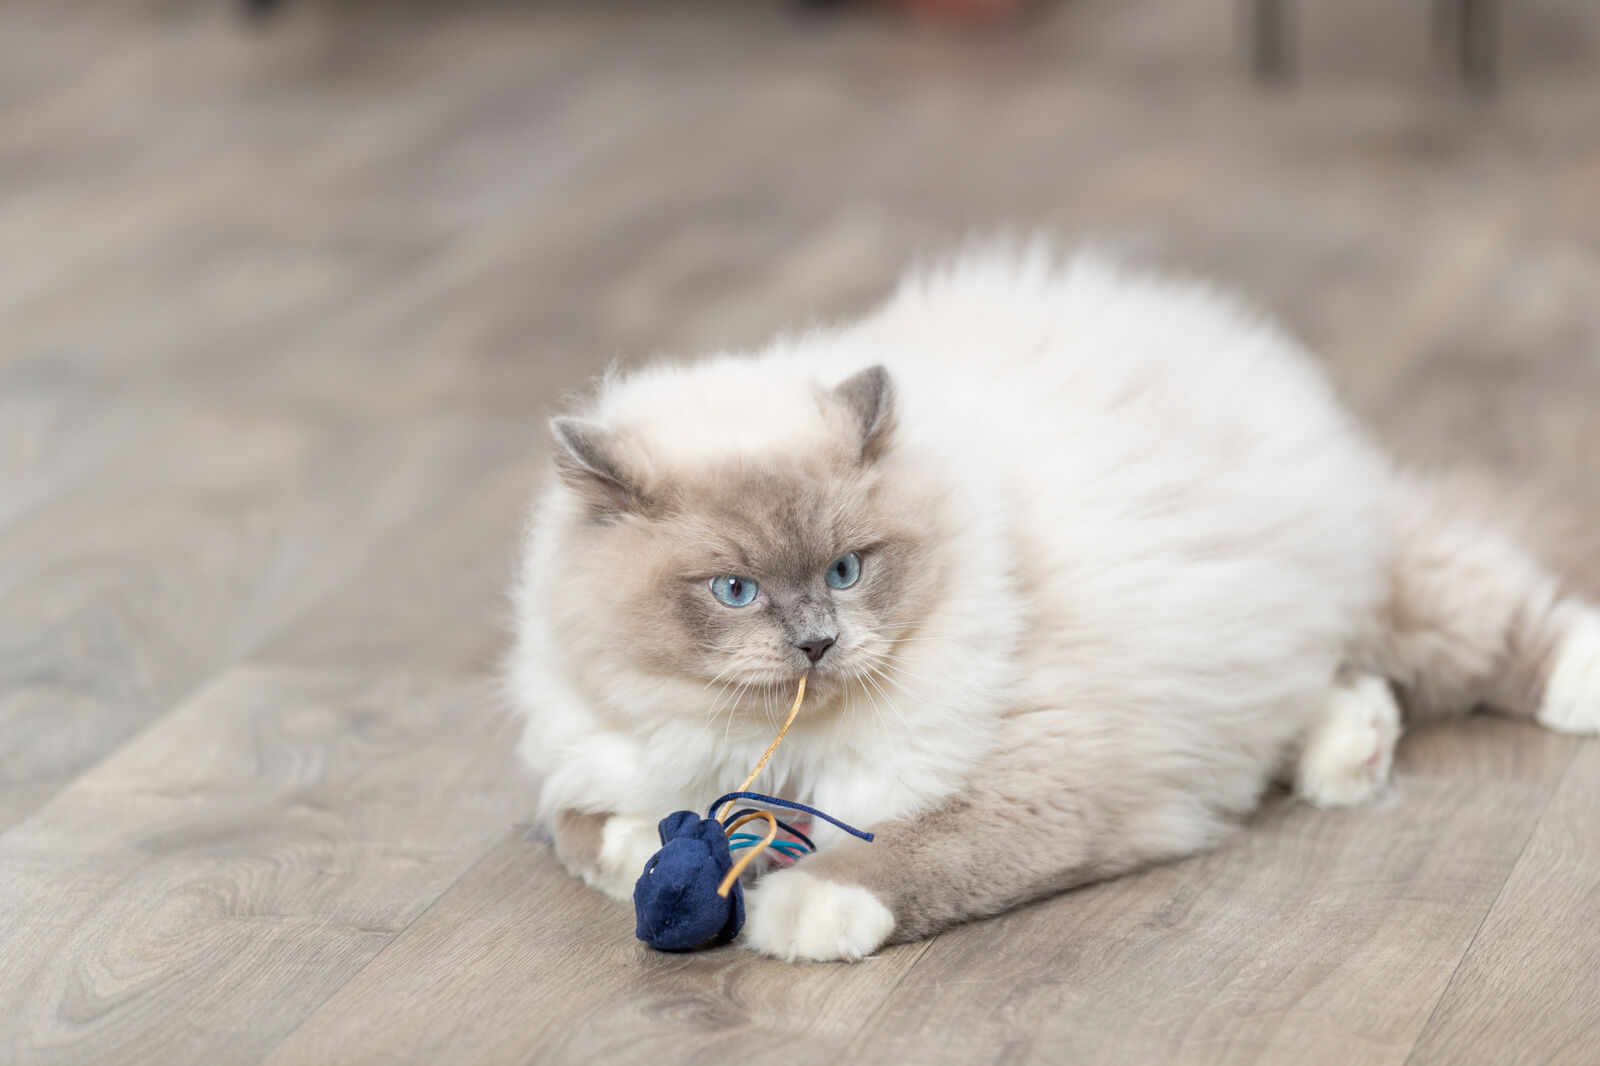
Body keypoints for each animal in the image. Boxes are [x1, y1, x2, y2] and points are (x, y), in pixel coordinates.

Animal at [508, 244, 1600, 960]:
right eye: (734, 592)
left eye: (848, 570)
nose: (817, 645)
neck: (782, 746)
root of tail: (1176, 313)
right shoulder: (595, 755)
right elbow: (592, 830)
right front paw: (657, 855)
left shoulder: (1030, 784)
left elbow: (901, 856)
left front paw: (799, 912)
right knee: (1316, 687)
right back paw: (1352, 751)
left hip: (1365, 580)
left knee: (1491, 620)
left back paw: (1563, 692)